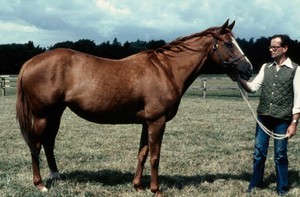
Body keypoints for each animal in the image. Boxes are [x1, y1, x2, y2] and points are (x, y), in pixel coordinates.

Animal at [15, 20, 251, 195]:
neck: (166, 70)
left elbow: (142, 153)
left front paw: (137, 185)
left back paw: (56, 177)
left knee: (48, 143)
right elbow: (155, 156)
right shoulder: (157, 121)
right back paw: (40, 184)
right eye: (229, 44)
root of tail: (29, 63)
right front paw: (156, 190)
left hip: (55, 113)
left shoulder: (146, 122)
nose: (248, 69)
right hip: (43, 115)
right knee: (36, 145)